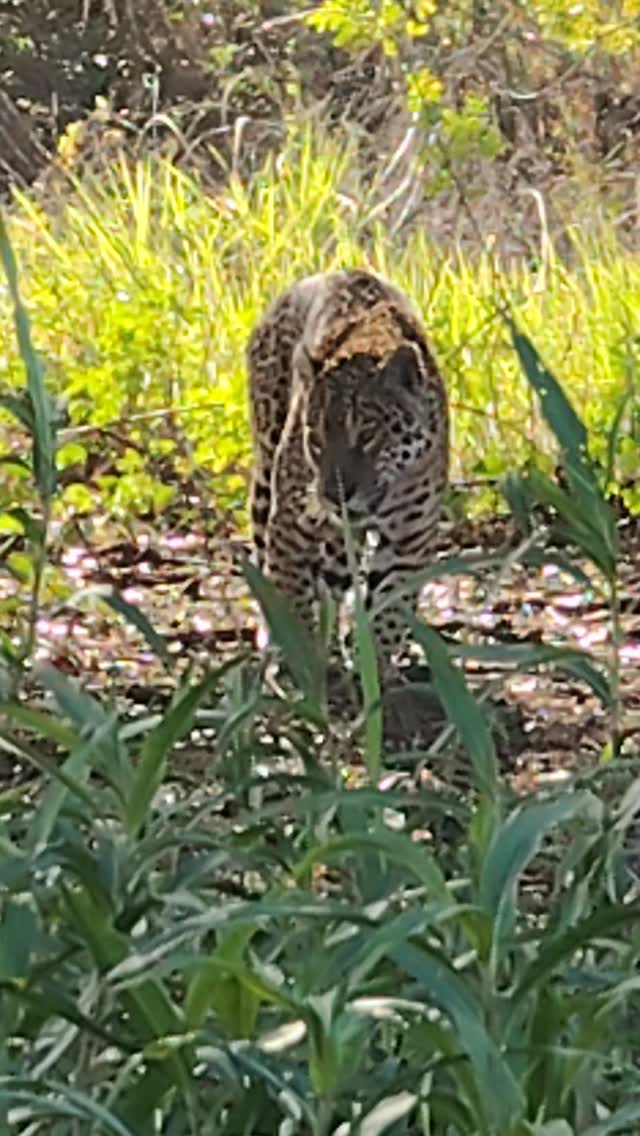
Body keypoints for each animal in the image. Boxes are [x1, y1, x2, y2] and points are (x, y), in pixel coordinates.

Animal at [246, 267, 449, 685]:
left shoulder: (411, 539)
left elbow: (389, 609)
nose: (334, 493)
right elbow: (292, 599)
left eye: (368, 435)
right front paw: (301, 664)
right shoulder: (290, 526)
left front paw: (374, 672)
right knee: (265, 563)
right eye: (315, 439)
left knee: (333, 582)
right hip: (265, 474)